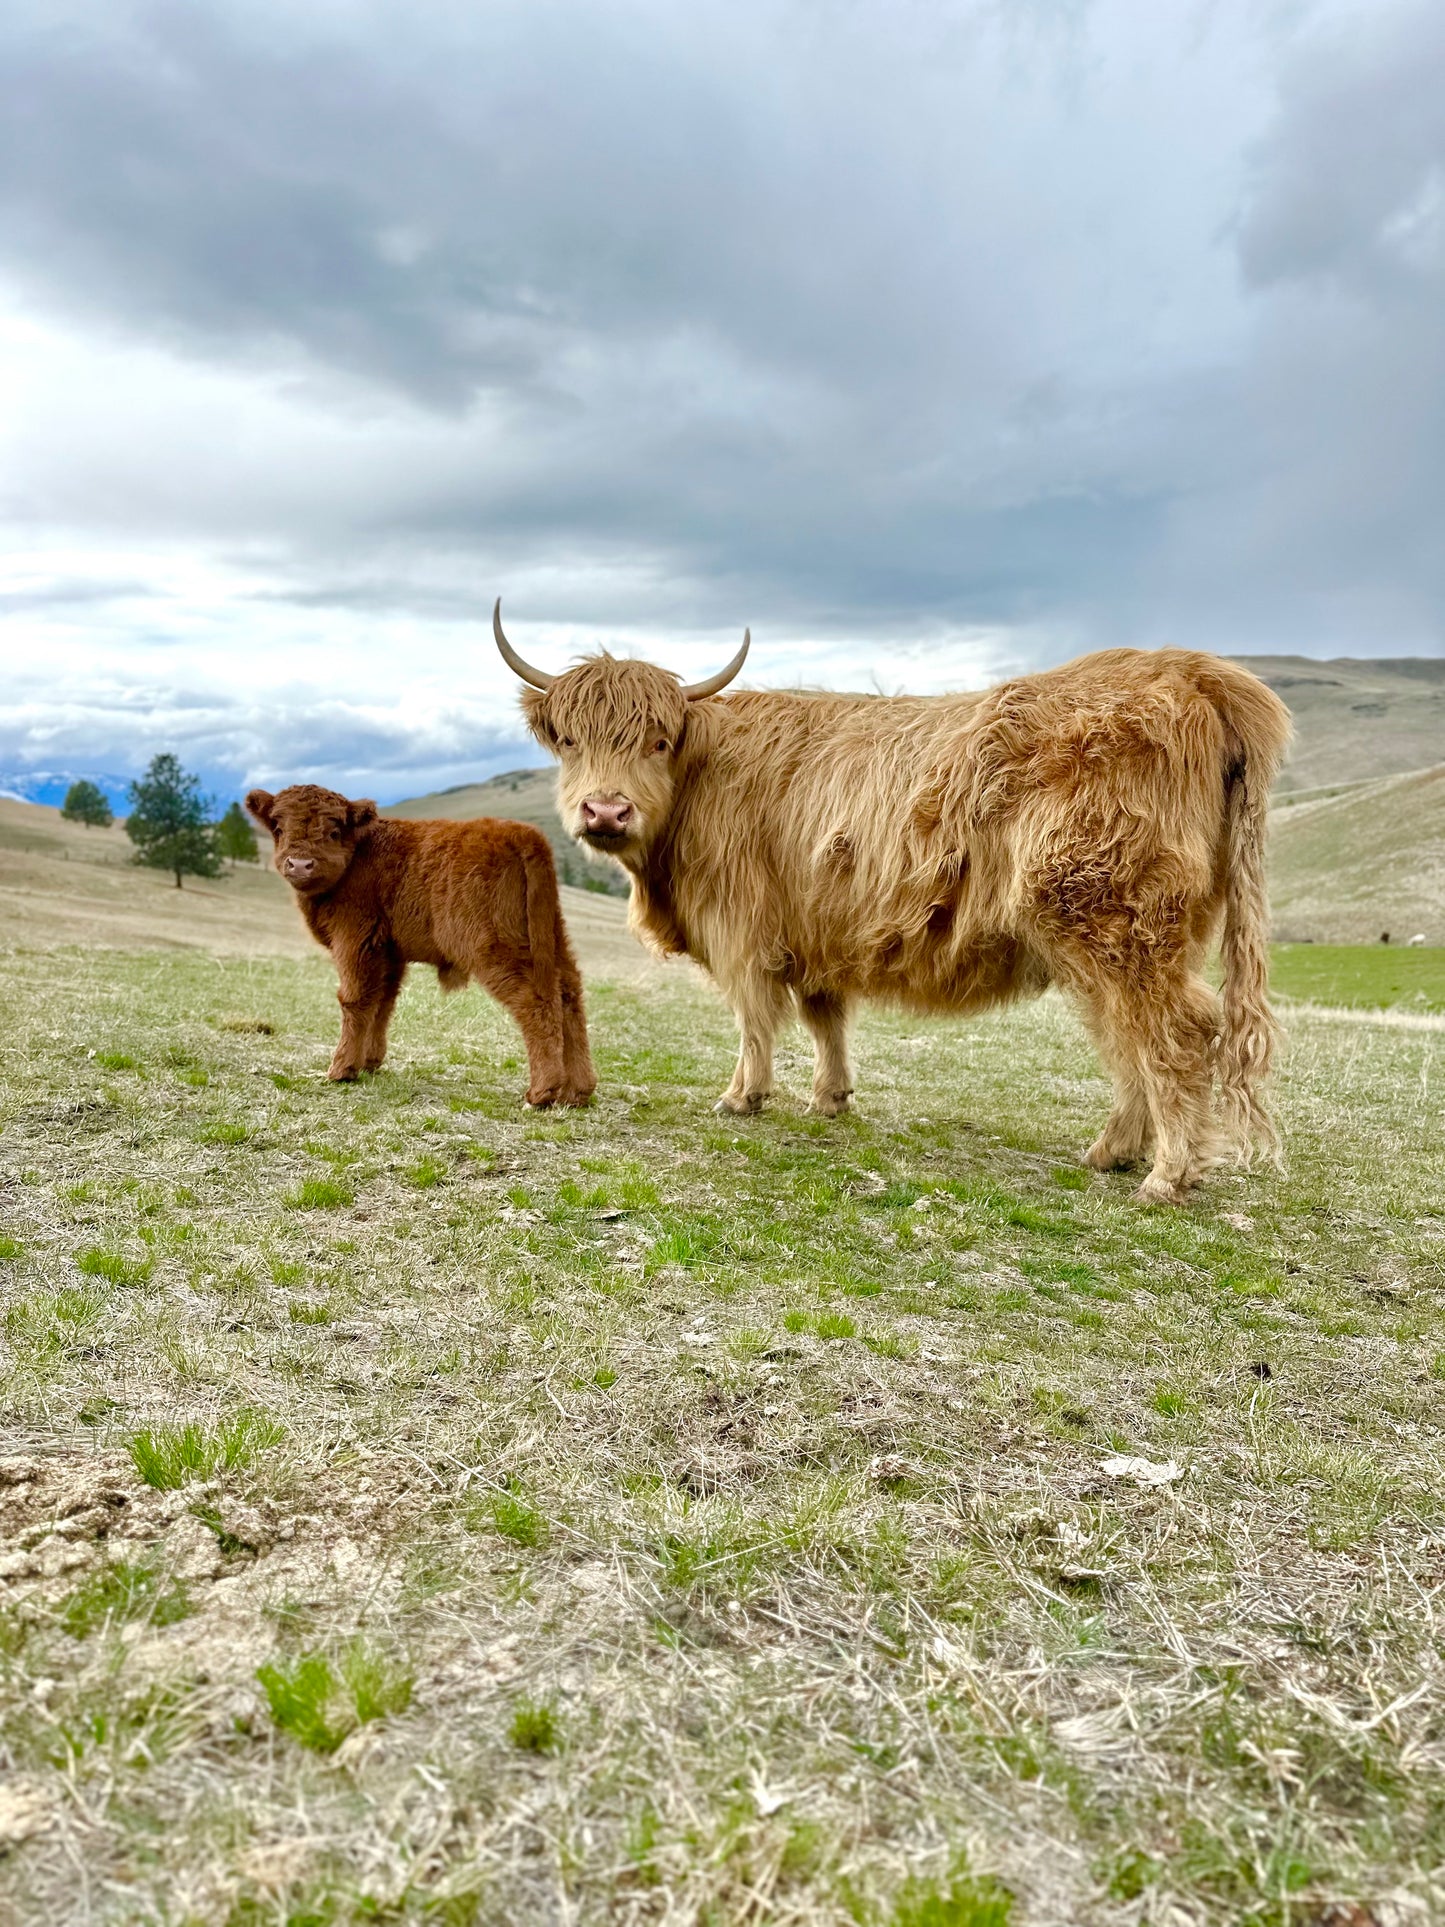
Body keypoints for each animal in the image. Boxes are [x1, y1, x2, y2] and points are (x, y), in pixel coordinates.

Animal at [245, 783, 596, 1107]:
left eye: (334, 830)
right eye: (278, 828)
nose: (299, 864)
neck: (360, 852)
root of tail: (521, 833)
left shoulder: (354, 939)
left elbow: (353, 998)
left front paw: (341, 1070)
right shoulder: (388, 953)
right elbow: (382, 1001)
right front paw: (369, 1062)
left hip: (495, 949)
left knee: (535, 1001)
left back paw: (541, 1093)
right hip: (553, 940)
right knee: (569, 995)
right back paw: (577, 1092)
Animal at [492, 602, 1293, 1203]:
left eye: (657, 741)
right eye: (569, 741)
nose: (605, 810)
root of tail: (1194, 669)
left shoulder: (740, 928)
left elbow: (754, 1017)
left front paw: (741, 1097)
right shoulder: (810, 930)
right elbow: (825, 1017)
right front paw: (829, 1098)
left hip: (1111, 919)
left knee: (1171, 1031)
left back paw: (1167, 1175)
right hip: (1121, 933)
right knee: (1127, 1035)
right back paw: (1113, 1151)